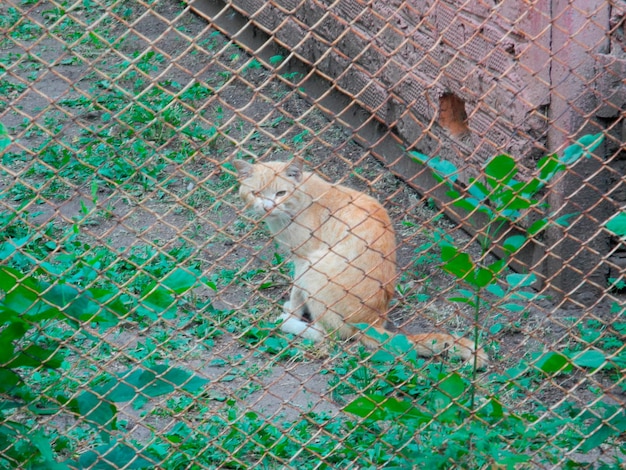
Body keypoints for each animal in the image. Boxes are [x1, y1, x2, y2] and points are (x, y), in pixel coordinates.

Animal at [234, 157, 488, 368]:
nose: (268, 207)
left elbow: (297, 292)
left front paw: (292, 310)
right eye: (256, 193)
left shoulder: (304, 258)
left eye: (281, 193)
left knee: (328, 334)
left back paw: (287, 323)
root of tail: (372, 322)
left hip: (317, 267)